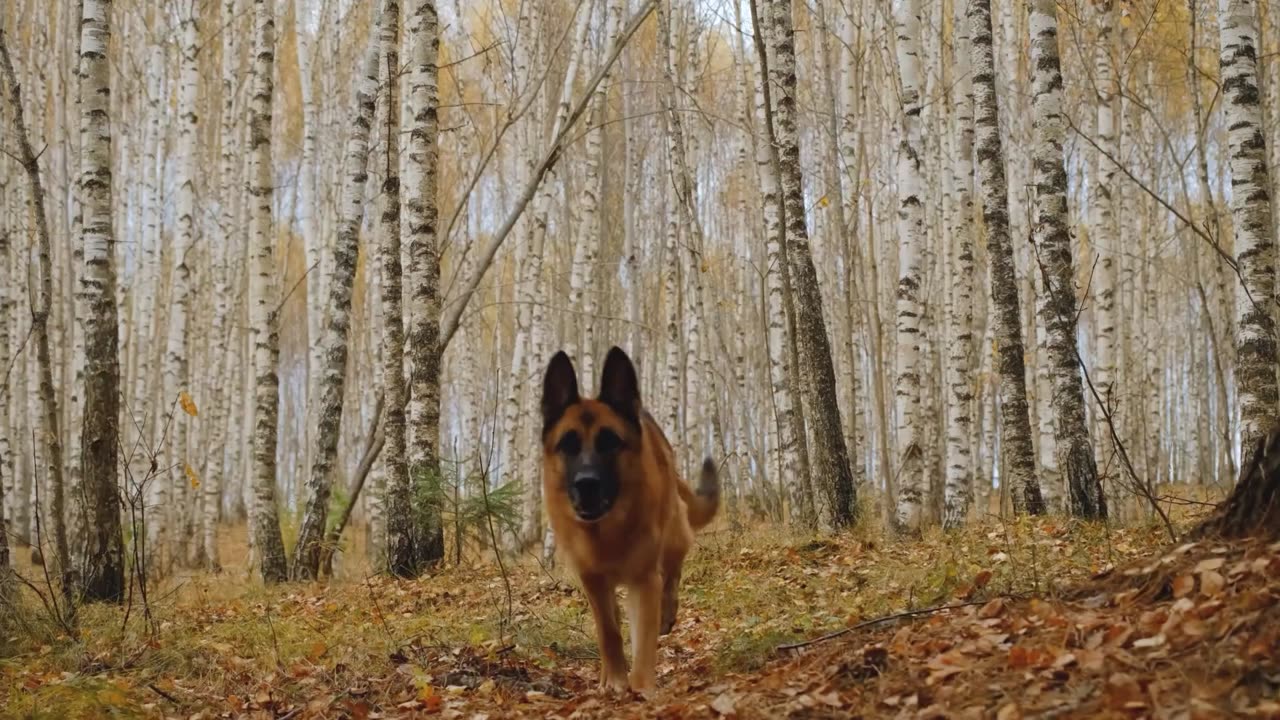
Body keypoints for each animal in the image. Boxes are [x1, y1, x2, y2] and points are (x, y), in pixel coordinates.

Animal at [540, 345, 721, 691]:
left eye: (610, 442)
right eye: (567, 444)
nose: (586, 484)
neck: (608, 531)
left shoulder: (644, 580)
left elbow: (644, 638)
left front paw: (640, 686)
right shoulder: (593, 582)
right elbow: (609, 633)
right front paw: (614, 680)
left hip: (674, 536)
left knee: (673, 571)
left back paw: (667, 612)